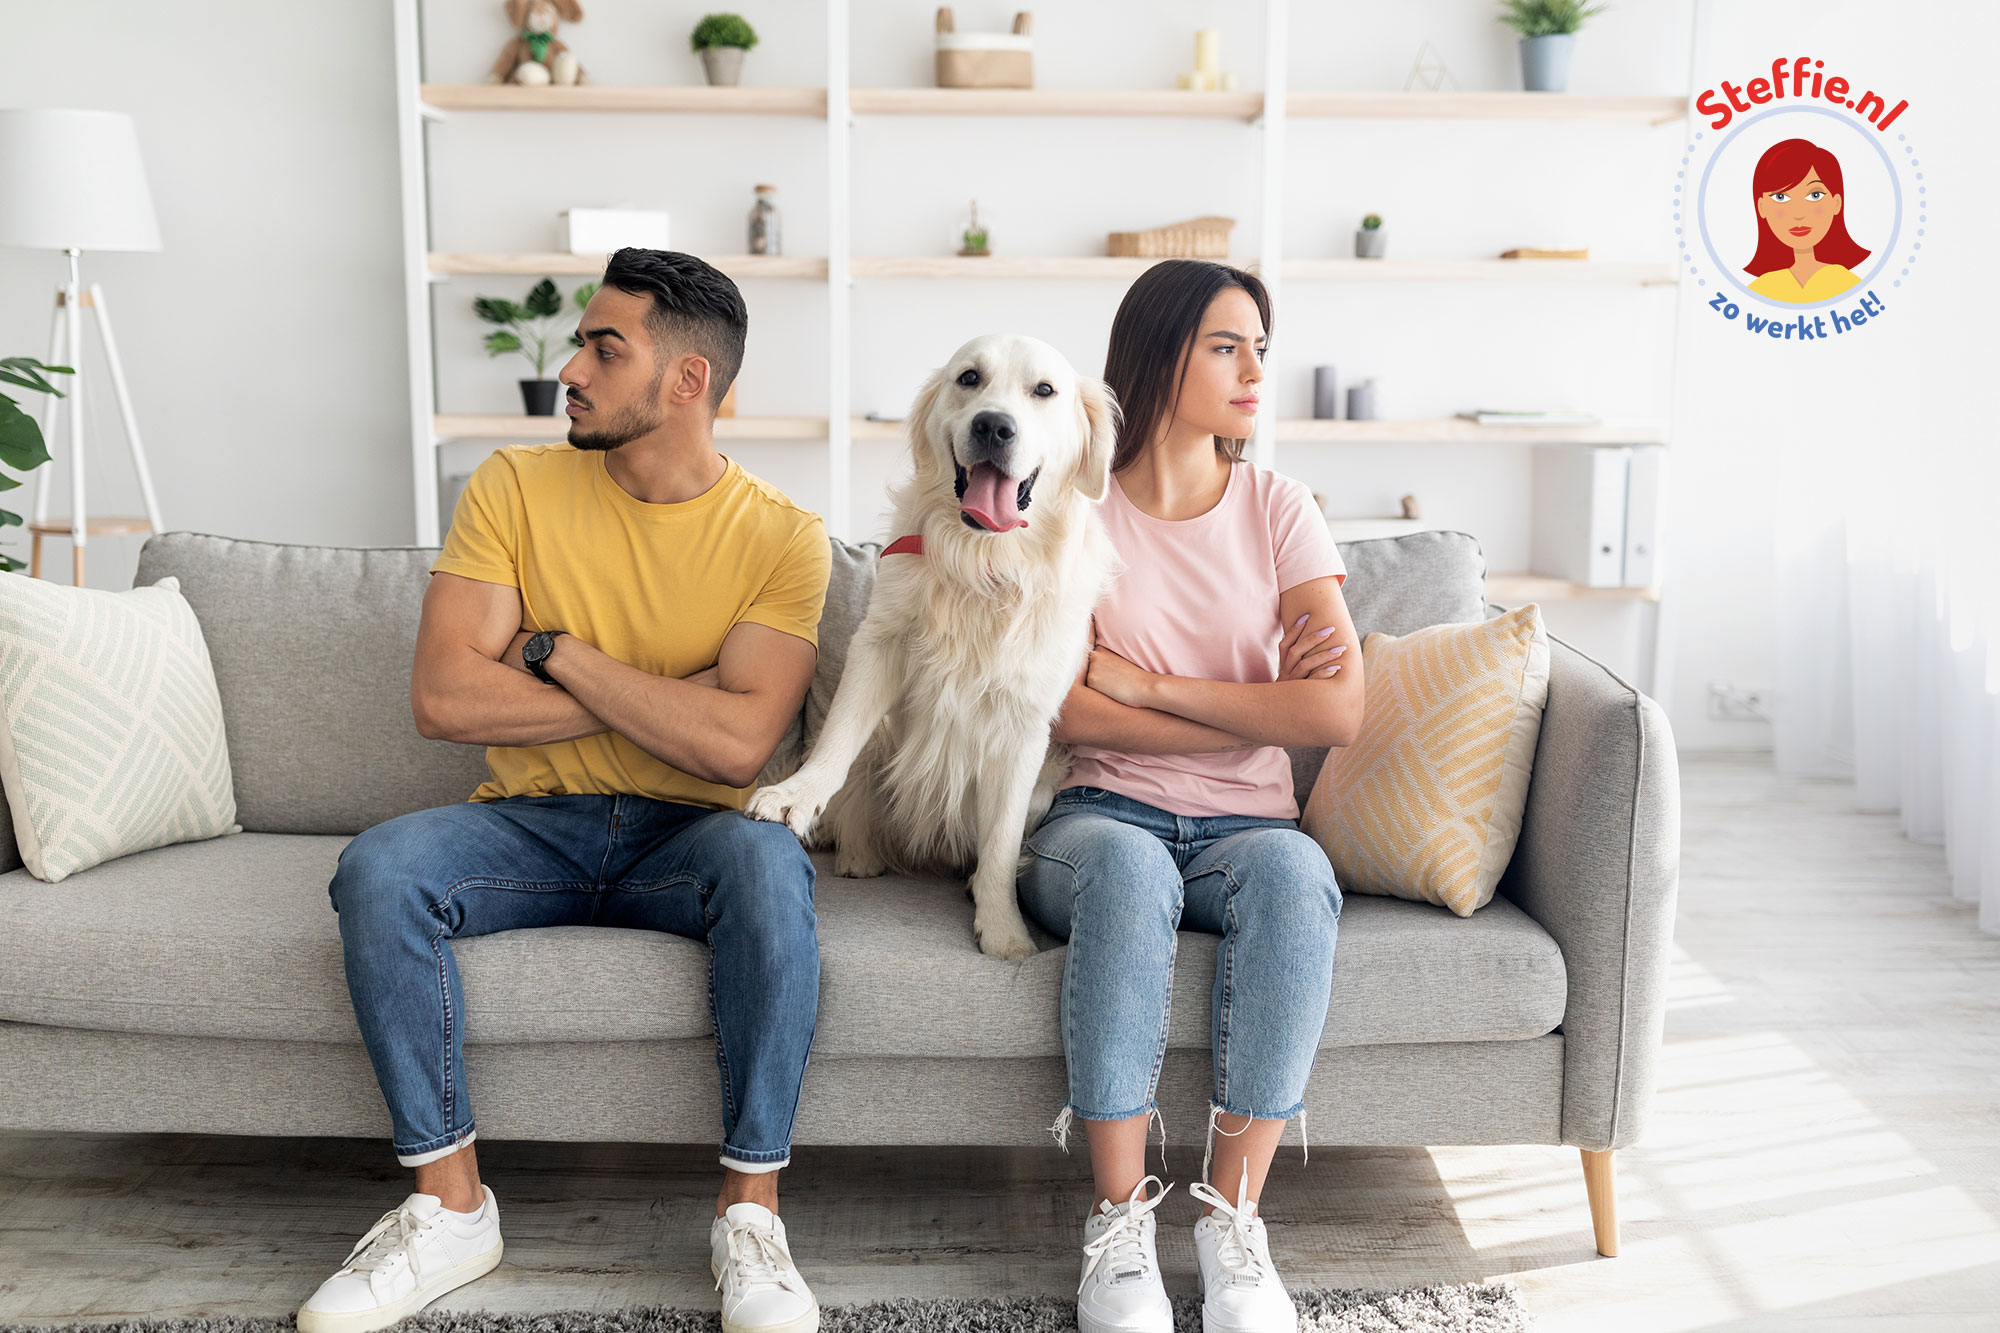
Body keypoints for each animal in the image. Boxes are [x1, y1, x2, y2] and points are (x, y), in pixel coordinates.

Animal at [752, 332, 1128, 956]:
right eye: (969, 378)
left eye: (1044, 390)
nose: (994, 427)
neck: (985, 561)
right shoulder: (878, 646)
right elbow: (837, 743)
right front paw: (795, 795)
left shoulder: (1028, 723)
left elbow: (1000, 842)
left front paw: (1002, 929)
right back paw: (859, 854)